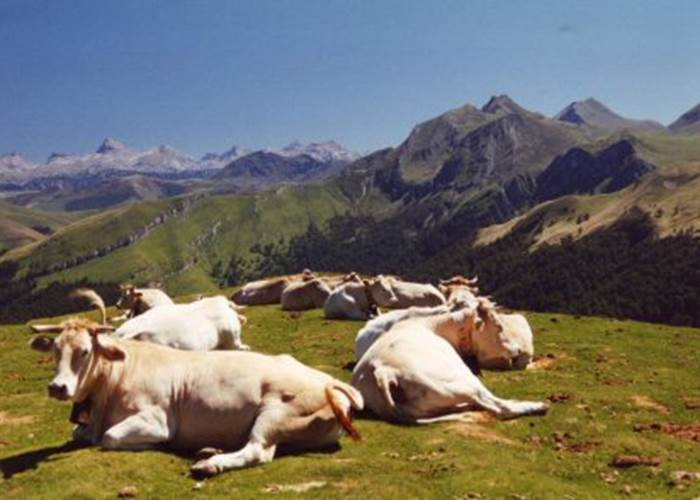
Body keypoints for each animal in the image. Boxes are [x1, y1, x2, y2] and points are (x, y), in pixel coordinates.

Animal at [28, 321, 364, 477]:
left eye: (85, 351)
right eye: (55, 349)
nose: (57, 387)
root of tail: (333, 384)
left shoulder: (158, 420)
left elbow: (109, 438)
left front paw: (151, 446)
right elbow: (80, 432)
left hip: (274, 414)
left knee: (257, 451)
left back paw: (209, 464)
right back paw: (209, 450)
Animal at [351, 300, 548, 424]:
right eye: (498, 326)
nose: (518, 351)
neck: (432, 325)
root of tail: (382, 371)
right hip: (461, 382)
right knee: (500, 407)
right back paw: (537, 405)